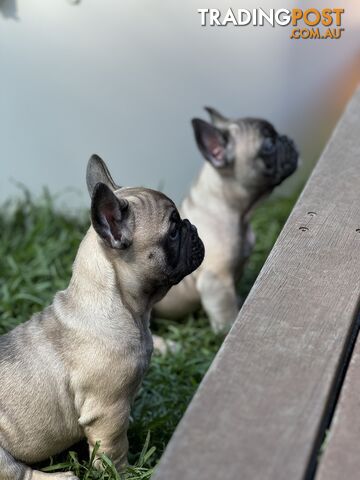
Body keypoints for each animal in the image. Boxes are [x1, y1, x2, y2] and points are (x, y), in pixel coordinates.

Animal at [0, 156, 202, 478]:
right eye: (172, 229)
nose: (191, 226)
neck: (124, 306)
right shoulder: (108, 410)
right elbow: (114, 449)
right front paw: (126, 472)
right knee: (17, 472)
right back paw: (62, 476)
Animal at [155, 108, 298, 334]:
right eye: (268, 145)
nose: (288, 140)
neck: (236, 212)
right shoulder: (216, 282)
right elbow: (226, 314)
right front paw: (228, 329)